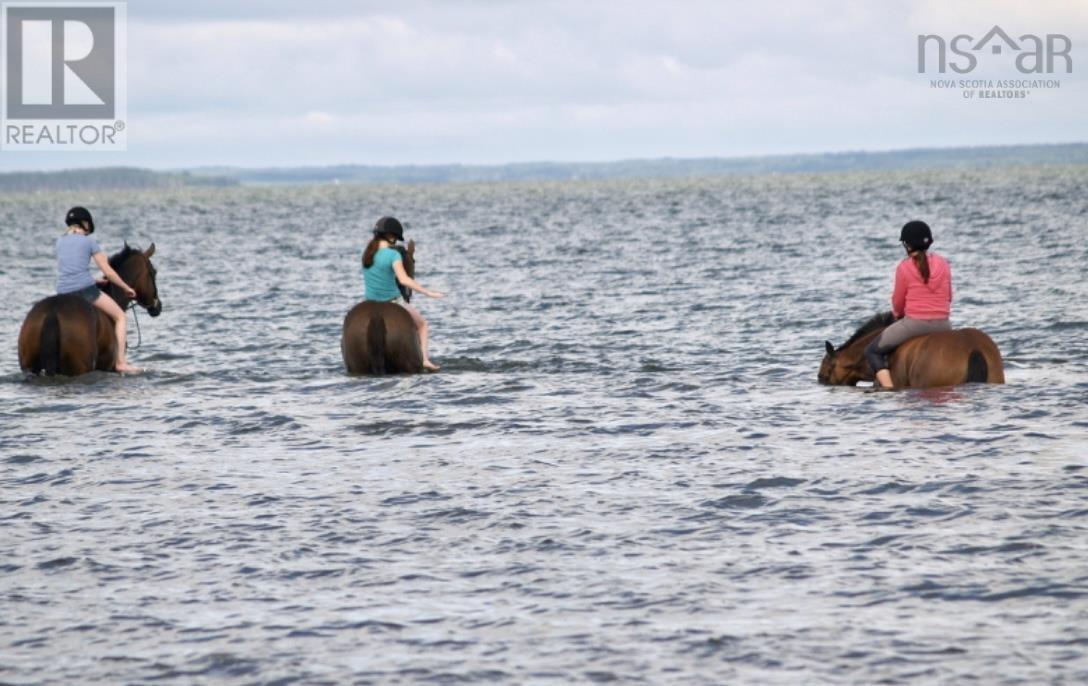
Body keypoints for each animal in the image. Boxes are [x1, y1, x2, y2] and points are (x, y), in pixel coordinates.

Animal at [17, 244, 161, 378]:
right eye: (153, 272)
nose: (158, 306)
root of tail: (53, 312)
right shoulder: (108, 367)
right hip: (79, 367)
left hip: (30, 367)